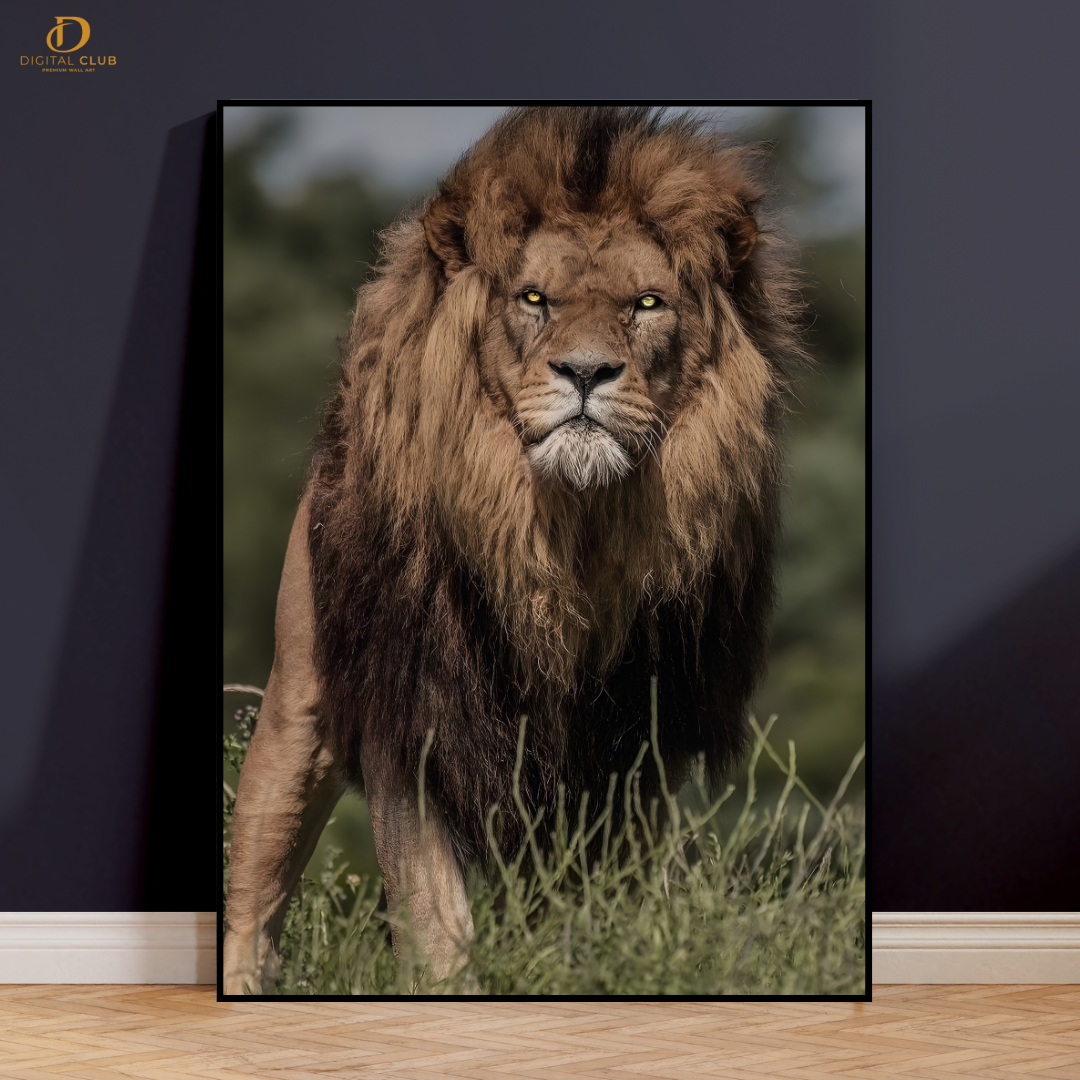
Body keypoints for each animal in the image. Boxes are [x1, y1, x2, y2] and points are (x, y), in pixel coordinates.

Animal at [223, 106, 805, 995]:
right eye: (535, 299)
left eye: (646, 303)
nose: (586, 371)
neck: (566, 531)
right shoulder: (415, 710)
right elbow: (434, 917)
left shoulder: (635, 744)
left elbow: (602, 903)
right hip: (299, 704)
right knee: (255, 881)